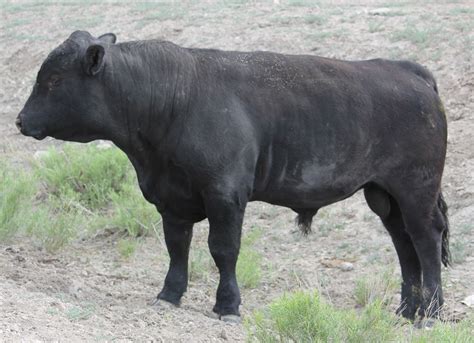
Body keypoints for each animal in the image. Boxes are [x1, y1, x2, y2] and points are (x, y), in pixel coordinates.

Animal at [16, 31, 450, 322]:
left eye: (53, 80)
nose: (20, 120)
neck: (174, 100)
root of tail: (405, 69)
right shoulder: (171, 199)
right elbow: (177, 247)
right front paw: (169, 294)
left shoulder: (225, 194)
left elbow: (223, 249)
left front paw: (227, 305)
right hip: (384, 196)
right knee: (404, 245)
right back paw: (407, 310)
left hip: (416, 190)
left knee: (425, 241)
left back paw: (430, 311)